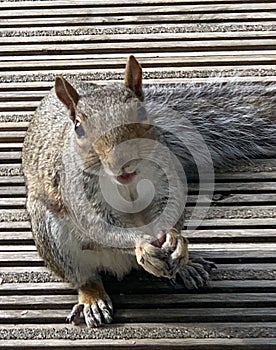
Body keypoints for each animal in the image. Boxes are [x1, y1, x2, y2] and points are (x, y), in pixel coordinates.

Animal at [22, 54, 276, 326]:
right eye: (78, 127)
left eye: (142, 112)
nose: (122, 163)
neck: (127, 184)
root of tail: (120, 266)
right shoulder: (76, 191)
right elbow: (99, 225)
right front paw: (142, 244)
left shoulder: (167, 173)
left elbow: (171, 206)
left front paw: (175, 239)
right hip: (52, 237)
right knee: (84, 277)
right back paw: (93, 298)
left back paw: (187, 266)